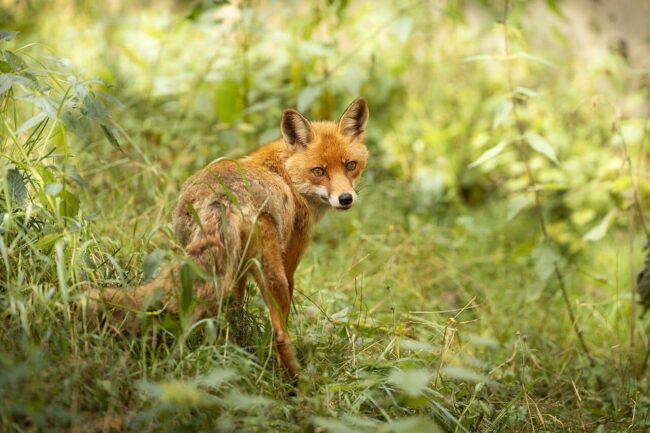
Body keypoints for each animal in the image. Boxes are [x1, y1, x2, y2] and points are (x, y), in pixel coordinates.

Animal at [91, 97, 369, 380]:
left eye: (350, 165)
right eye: (319, 171)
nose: (345, 198)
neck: (286, 175)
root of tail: (221, 198)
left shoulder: (239, 271)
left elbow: (237, 309)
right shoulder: (289, 265)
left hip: (212, 271)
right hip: (272, 276)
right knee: (279, 335)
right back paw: (295, 382)